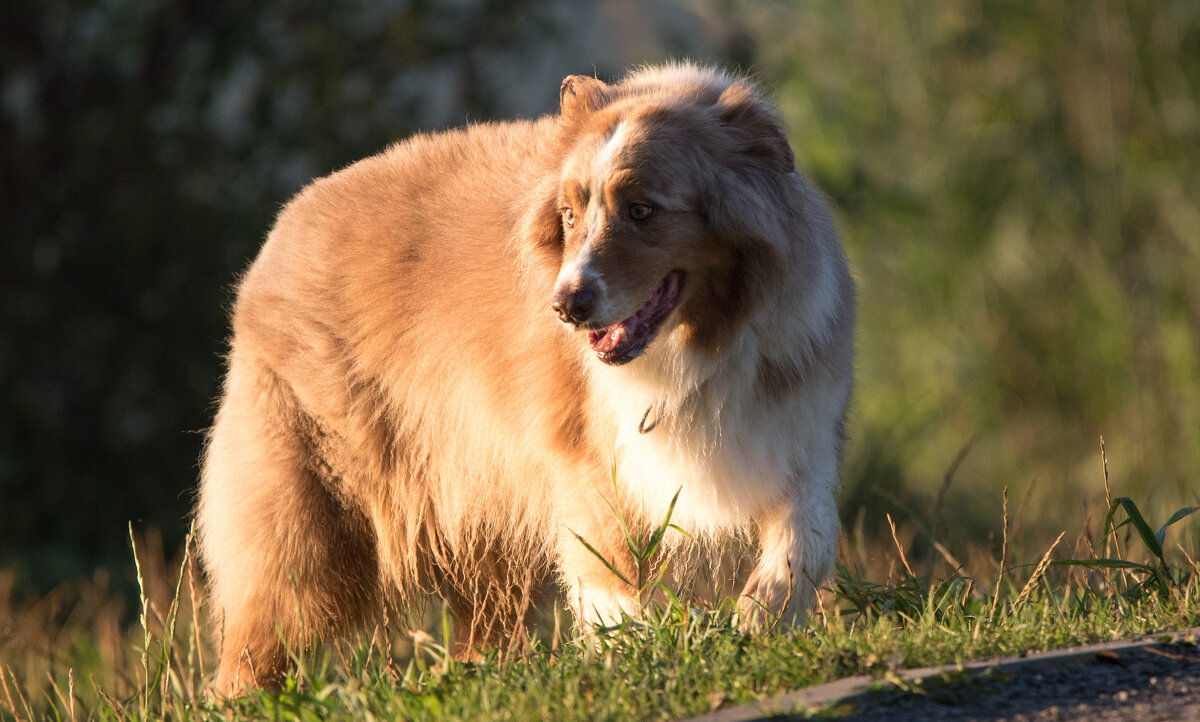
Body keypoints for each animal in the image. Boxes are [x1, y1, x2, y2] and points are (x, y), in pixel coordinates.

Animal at [196, 61, 854, 690]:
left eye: (642, 210)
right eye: (569, 215)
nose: (568, 306)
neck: (693, 344)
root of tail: (275, 237)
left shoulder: (791, 405)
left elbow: (807, 531)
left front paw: (759, 620)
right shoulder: (582, 443)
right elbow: (610, 566)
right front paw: (638, 655)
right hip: (315, 477)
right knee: (275, 599)